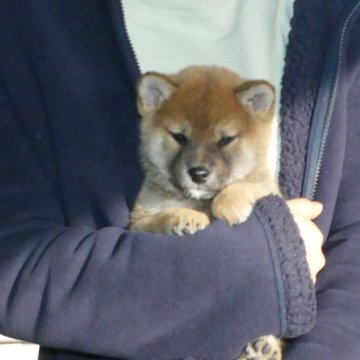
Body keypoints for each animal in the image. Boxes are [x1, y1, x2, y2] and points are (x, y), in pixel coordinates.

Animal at [131, 65, 282, 360]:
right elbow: (159, 218)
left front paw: (229, 204)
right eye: (179, 137)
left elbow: (245, 183)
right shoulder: (138, 223)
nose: (198, 173)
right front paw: (184, 217)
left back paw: (264, 349)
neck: (200, 201)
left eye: (225, 140)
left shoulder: (270, 191)